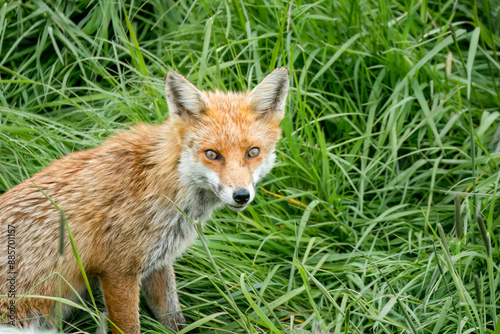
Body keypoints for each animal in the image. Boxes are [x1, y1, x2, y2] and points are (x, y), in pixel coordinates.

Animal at [0, 66, 290, 332]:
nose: (241, 195)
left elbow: (174, 320)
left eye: (253, 152)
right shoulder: (117, 271)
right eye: (212, 154)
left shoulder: (158, 263)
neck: (158, 182)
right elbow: (130, 326)